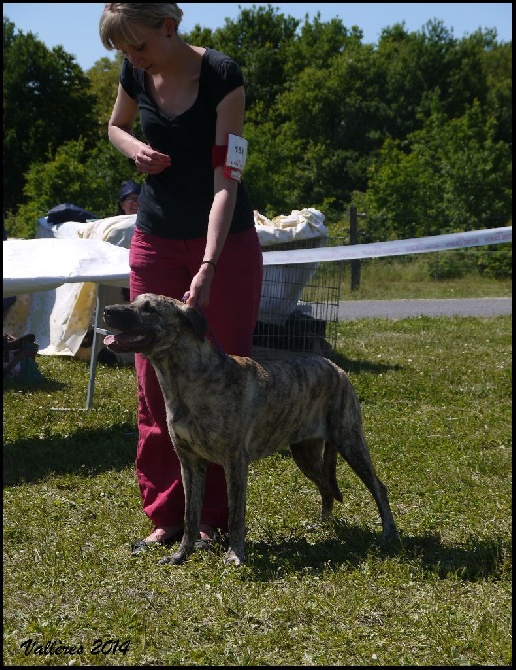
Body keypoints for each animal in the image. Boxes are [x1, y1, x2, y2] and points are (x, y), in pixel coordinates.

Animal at [103, 294, 398, 568]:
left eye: (149, 308)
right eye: (134, 300)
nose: (106, 310)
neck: (188, 380)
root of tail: (337, 368)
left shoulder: (234, 462)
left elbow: (235, 515)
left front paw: (235, 555)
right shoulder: (190, 463)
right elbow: (189, 517)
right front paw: (180, 555)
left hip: (350, 442)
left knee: (378, 488)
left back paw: (389, 533)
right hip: (305, 454)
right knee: (326, 487)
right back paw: (323, 526)